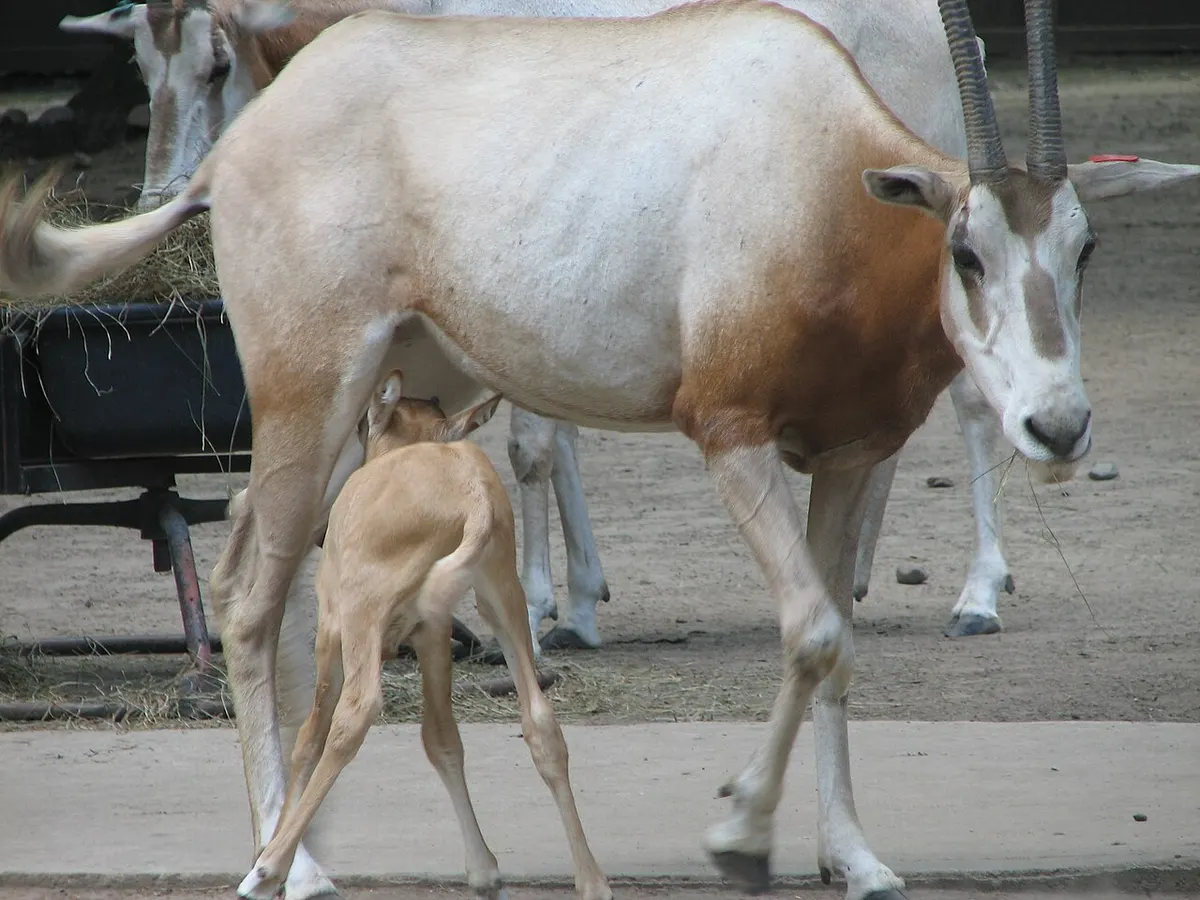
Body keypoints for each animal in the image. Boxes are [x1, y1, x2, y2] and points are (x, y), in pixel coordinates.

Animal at [66, 0, 1018, 651]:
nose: (160, 199)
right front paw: (578, 600)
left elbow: (530, 448)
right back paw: (856, 574)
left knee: (976, 405)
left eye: (217, 65)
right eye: (142, 68)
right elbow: (555, 444)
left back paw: (977, 595)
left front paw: (544, 607)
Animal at [235, 369, 611, 900]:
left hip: (363, 617)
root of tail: (472, 495)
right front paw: (484, 870)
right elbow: (442, 739)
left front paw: (272, 865)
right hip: (502, 602)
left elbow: (310, 736)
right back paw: (592, 880)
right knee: (540, 720)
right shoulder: (432, 633)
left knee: (355, 713)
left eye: (362, 426)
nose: (323, 533)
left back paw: (267, 870)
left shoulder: (332, 628)